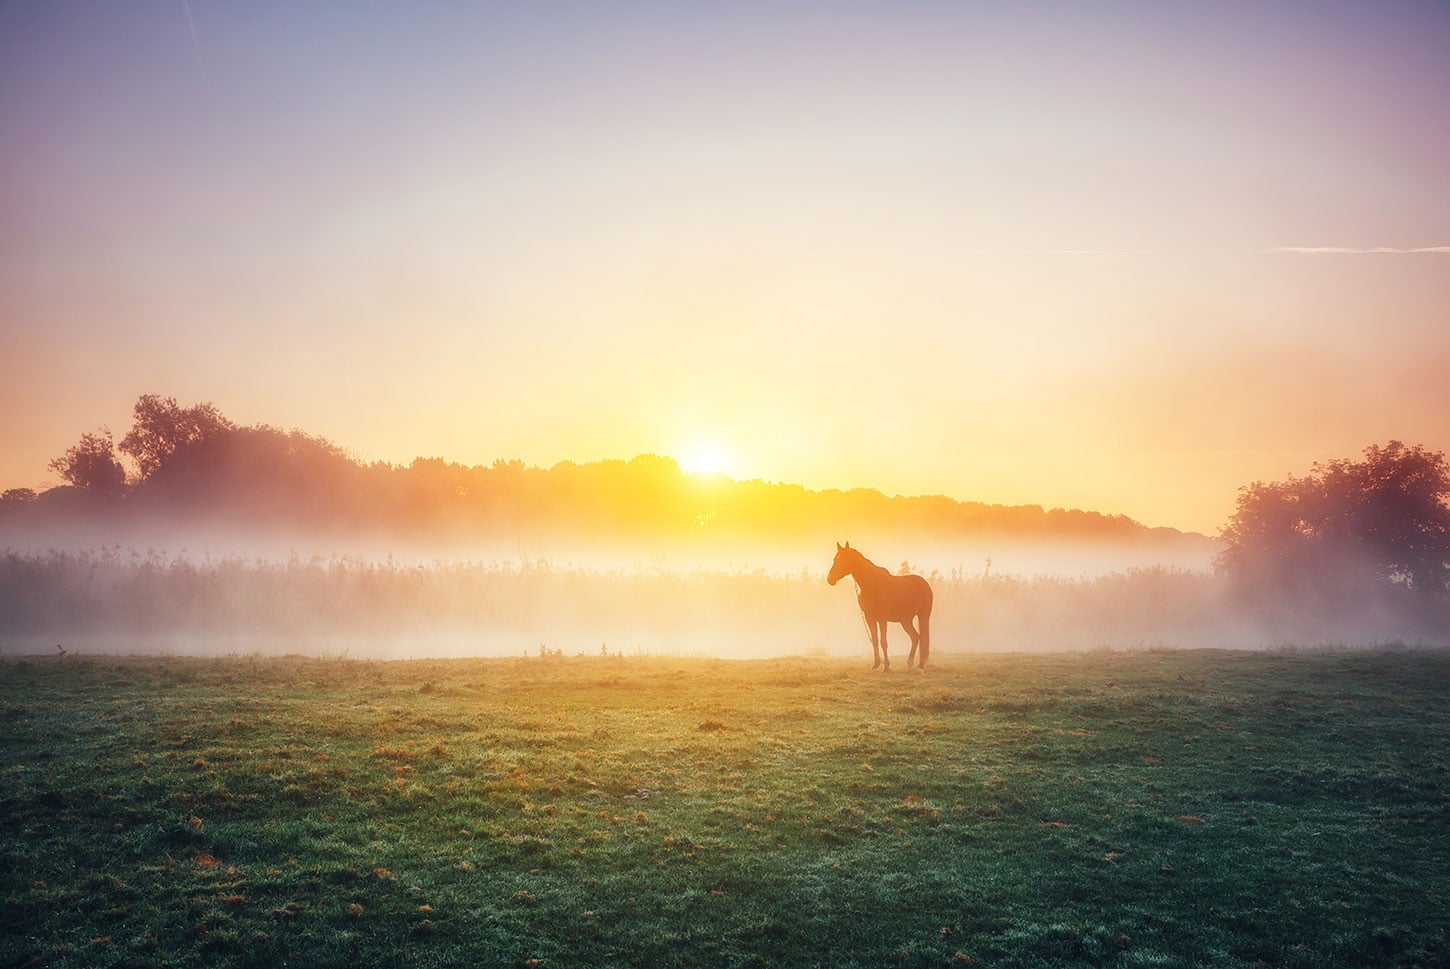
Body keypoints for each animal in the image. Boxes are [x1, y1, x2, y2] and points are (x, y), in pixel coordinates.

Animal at [826, 542, 933, 670]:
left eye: (845, 559)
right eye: (834, 559)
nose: (830, 579)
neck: (871, 585)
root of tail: (925, 584)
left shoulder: (882, 618)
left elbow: (883, 641)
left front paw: (886, 666)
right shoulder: (869, 618)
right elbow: (875, 640)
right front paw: (876, 664)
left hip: (923, 616)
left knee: (922, 637)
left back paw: (921, 665)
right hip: (905, 620)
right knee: (915, 637)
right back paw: (909, 663)